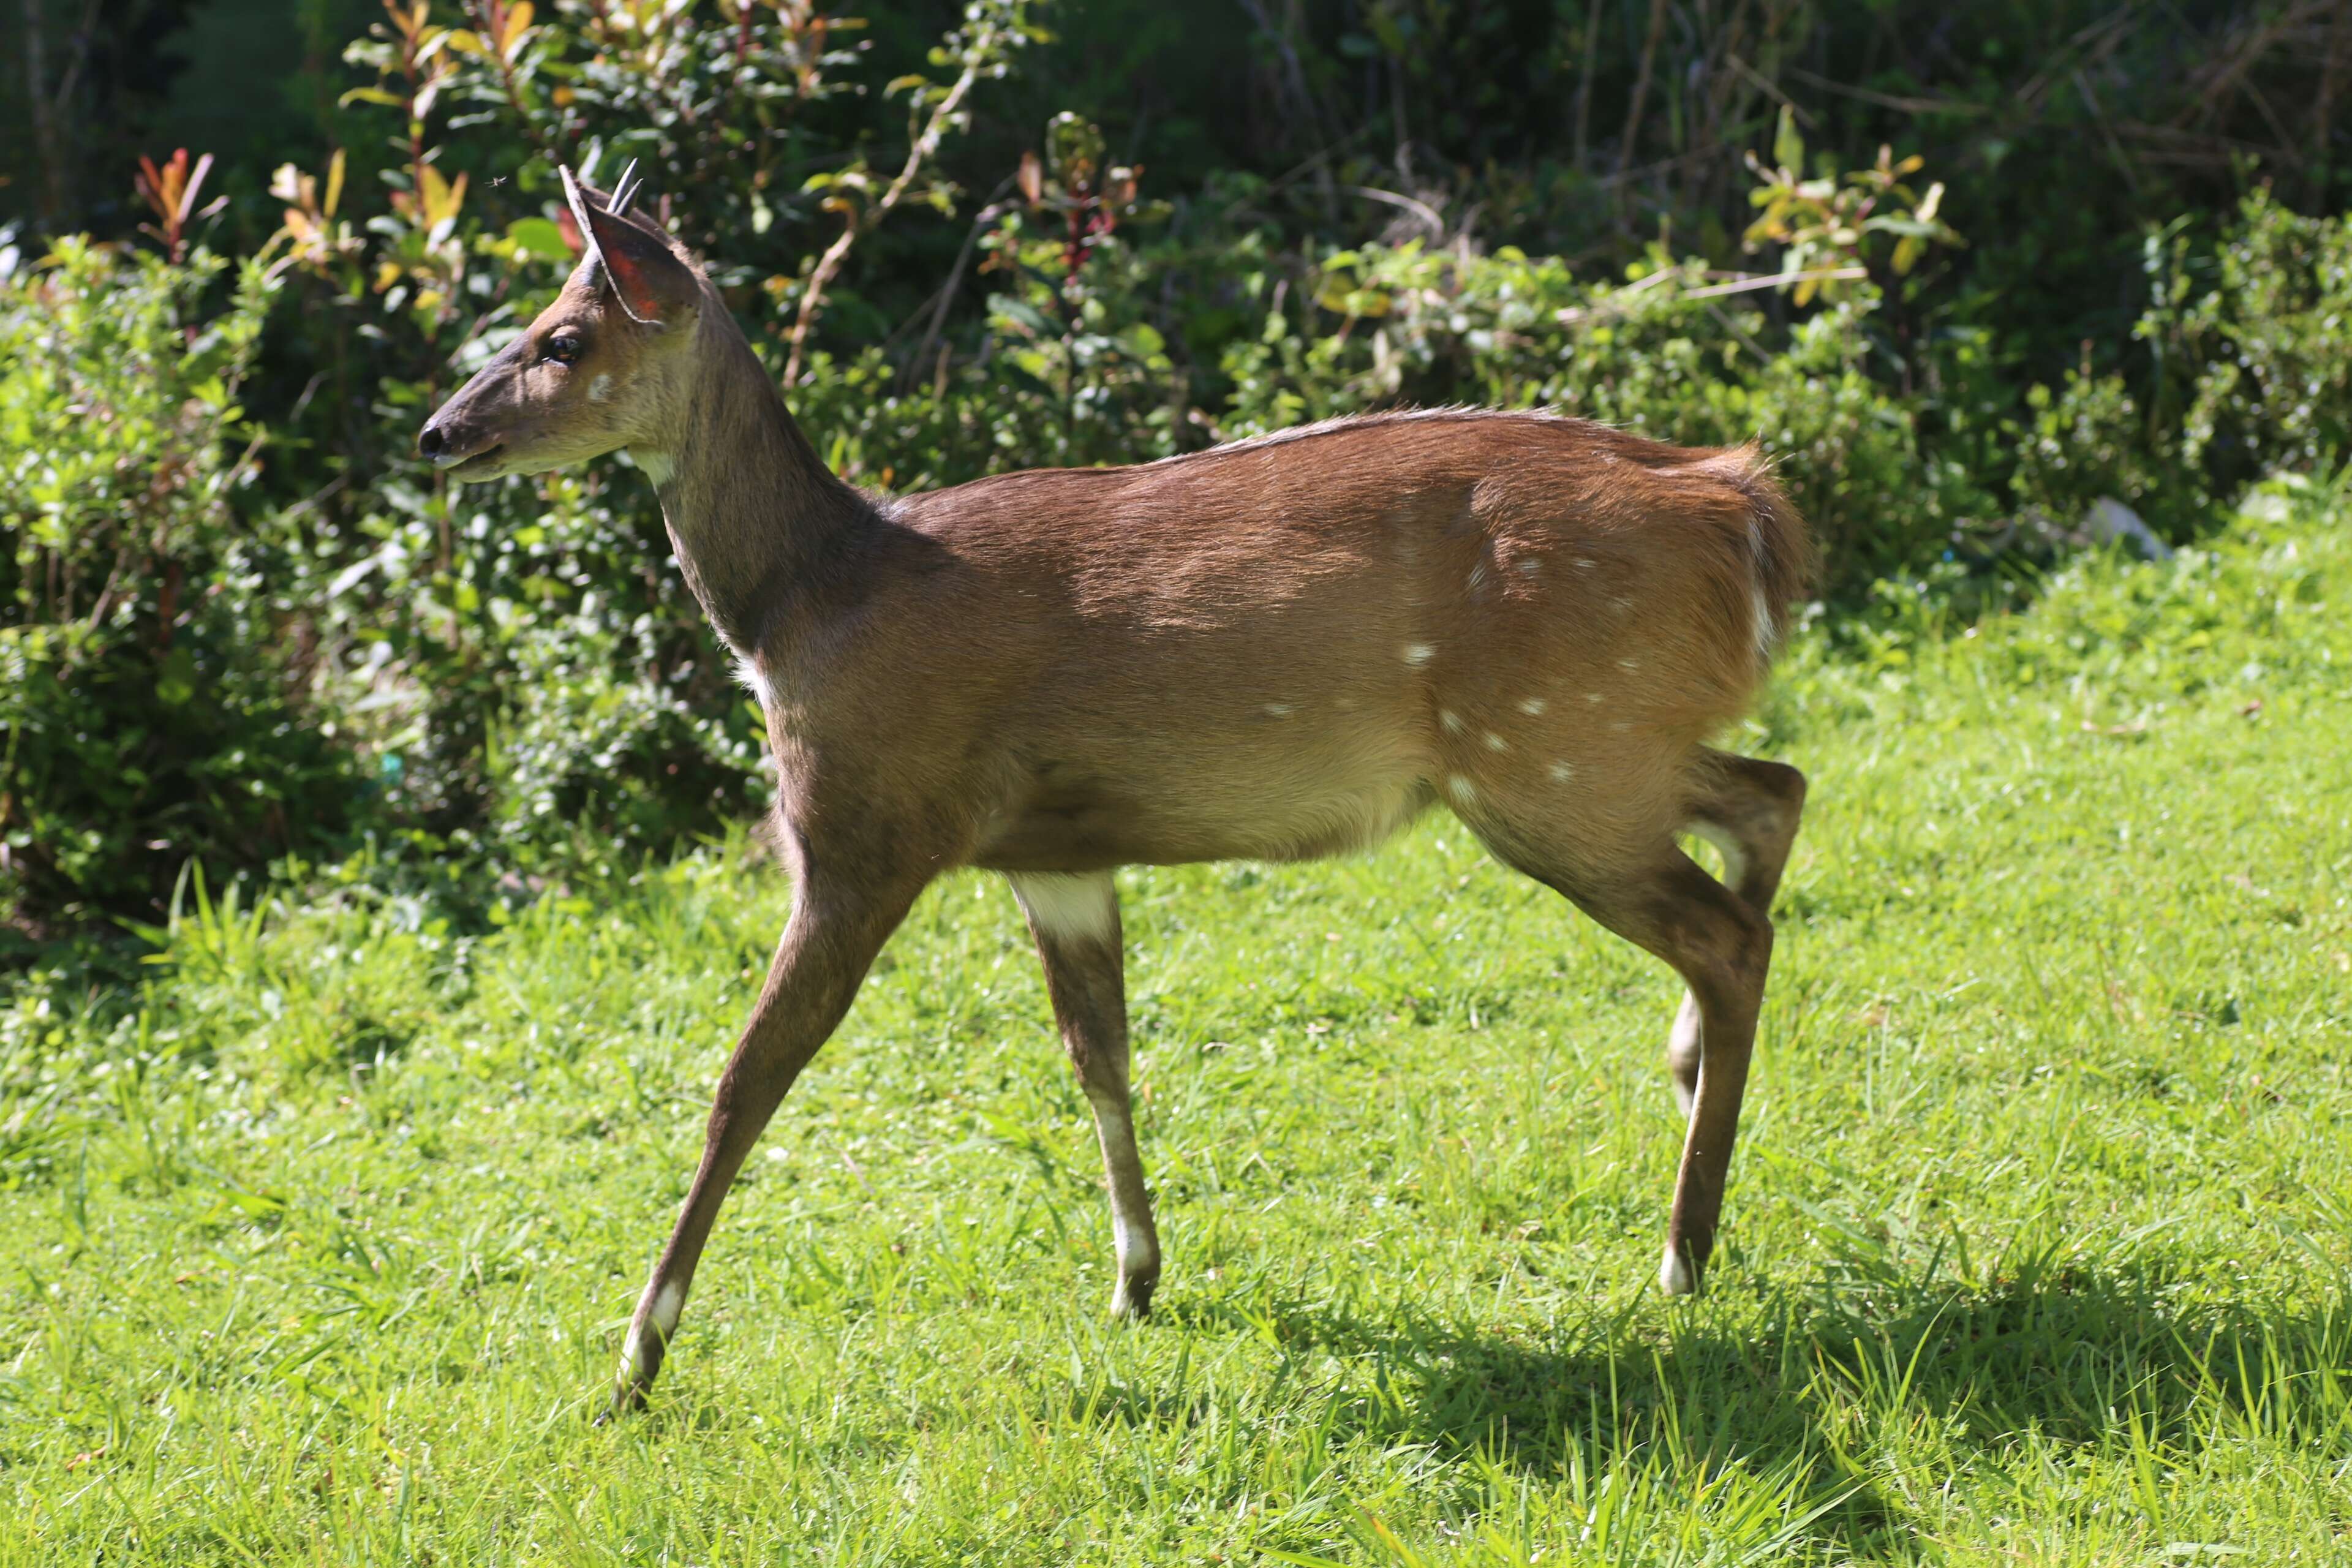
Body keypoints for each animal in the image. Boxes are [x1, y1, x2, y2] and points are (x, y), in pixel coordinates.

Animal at [418, 172, 1815, 1420]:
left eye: (562, 338)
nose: (440, 432)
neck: (803, 605)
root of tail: (1739, 506)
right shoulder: (1057, 855)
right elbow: (1101, 1053)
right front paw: (1137, 1279)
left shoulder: (861, 833)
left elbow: (741, 1084)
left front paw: (634, 1362)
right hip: (1604, 747)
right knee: (1774, 795)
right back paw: (1686, 1080)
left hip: (1548, 759)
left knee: (1730, 928)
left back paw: (1682, 1251)